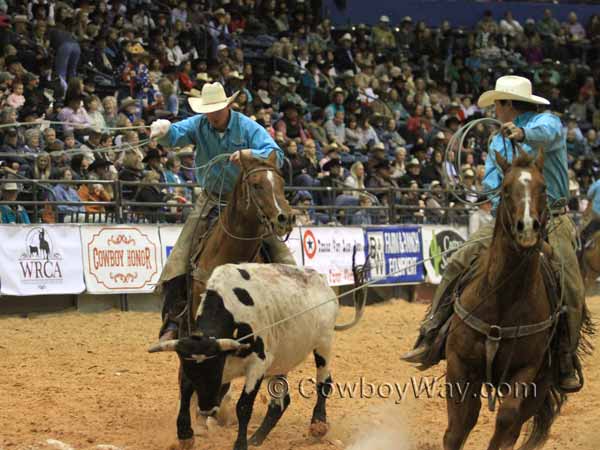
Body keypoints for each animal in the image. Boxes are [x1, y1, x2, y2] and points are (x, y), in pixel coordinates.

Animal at [442, 149, 564, 450]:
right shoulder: (459, 364)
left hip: (542, 384)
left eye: (542, 187)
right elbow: (457, 428)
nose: (528, 227)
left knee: (512, 425)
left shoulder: (526, 370)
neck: (503, 299)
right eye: (506, 189)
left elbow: (506, 421)